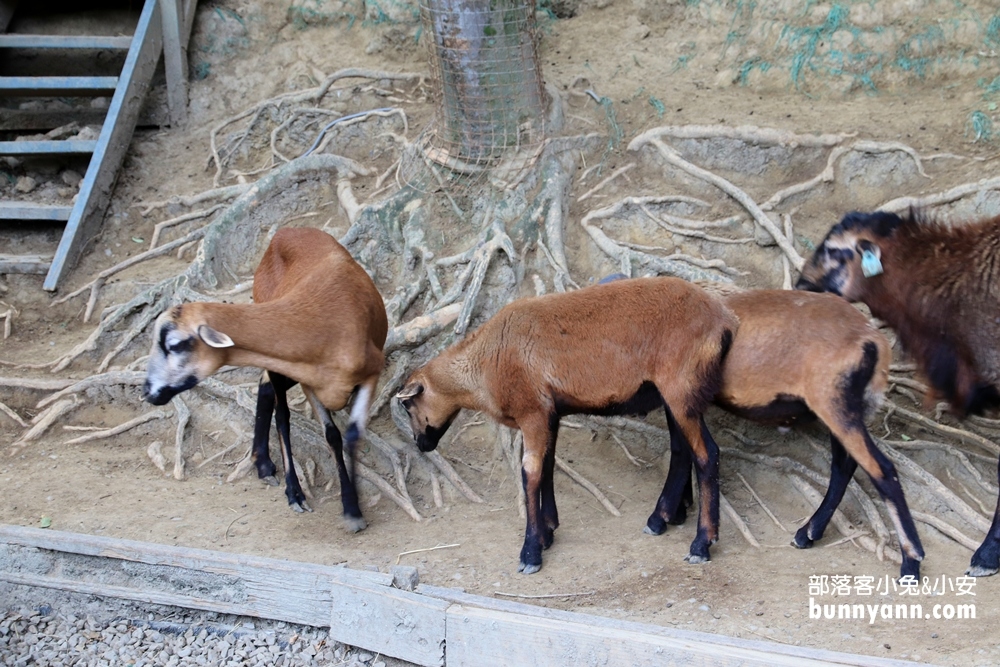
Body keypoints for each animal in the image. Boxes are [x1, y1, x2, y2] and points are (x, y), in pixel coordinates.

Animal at [145, 227, 386, 536]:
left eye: (173, 344)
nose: (147, 392)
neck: (322, 327)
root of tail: (287, 230)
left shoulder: (371, 373)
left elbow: (352, 434)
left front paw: (354, 508)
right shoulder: (308, 381)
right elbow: (325, 433)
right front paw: (344, 506)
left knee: (267, 390)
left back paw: (264, 464)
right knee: (277, 406)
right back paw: (281, 480)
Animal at [396, 276, 736, 576]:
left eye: (407, 405)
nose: (421, 444)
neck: (485, 364)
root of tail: (724, 320)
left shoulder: (532, 412)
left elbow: (530, 473)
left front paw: (531, 552)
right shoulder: (550, 414)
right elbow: (547, 466)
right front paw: (547, 532)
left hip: (680, 389)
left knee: (707, 454)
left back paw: (701, 544)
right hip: (675, 395)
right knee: (681, 451)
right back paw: (661, 519)